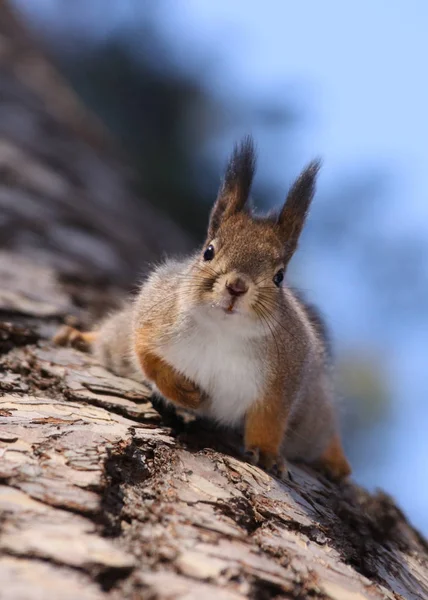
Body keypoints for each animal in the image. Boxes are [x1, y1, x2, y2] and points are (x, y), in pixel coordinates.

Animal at [54, 137, 352, 482]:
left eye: (280, 276)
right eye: (208, 251)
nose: (237, 286)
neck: (223, 330)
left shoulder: (285, 374)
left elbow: (270, 419)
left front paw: (266, 452)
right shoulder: (153, 316)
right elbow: (146, 355)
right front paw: (184, 393)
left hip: (308, 418)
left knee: (322, 430)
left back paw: (337, 460)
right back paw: (79, 336)